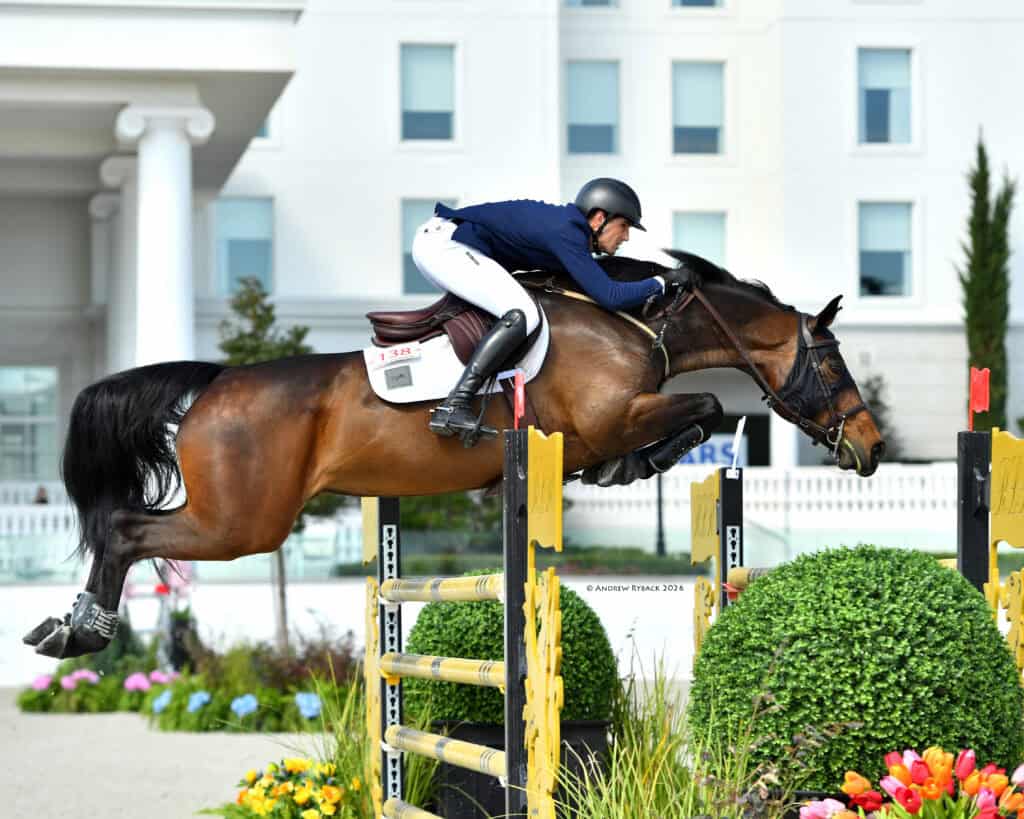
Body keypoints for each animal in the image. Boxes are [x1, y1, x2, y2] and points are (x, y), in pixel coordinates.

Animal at [24, 250, 884, 658]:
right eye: (833, 363)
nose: (873, 449)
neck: (636, 322)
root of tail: (215, 380)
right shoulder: (613, 415)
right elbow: (702, 406)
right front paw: (634, 463)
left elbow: (693, 414)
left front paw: (627, 467)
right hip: (242, 522)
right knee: (126, 530)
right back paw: (82, 632)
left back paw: (69, 628)